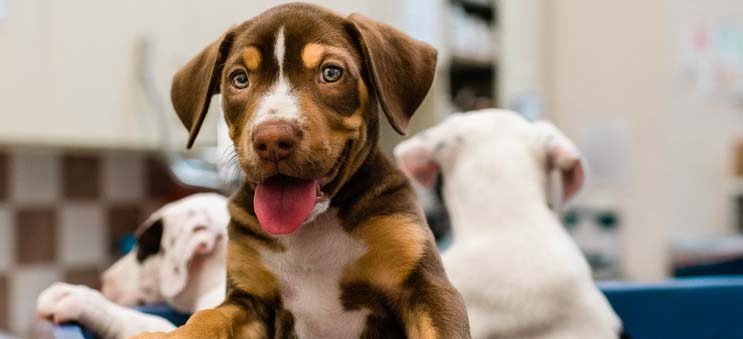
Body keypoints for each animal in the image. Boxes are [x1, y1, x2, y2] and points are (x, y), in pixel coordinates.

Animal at [132, 3, 470, 339]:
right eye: (239, 79)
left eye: (331, 73)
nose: (271, 140)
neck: (312, 228)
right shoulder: (249, 300)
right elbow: (208, 317)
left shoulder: (424, 286)